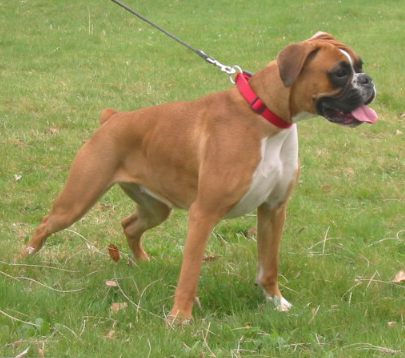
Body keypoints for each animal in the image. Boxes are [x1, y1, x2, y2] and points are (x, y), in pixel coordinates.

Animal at [21, 32, 376, 322]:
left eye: (359, 65)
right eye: (339, 72)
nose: (368, 80)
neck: (265, 116)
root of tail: (113, 118)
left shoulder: (274, 210)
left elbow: (269, 266)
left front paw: (276, 303)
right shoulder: (204, 215)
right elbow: (190, 273)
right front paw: (180, 319)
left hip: (155, 208)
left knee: (129, 225)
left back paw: (143, 261)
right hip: (78, 199)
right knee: (45, 225)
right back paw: (23, 263)